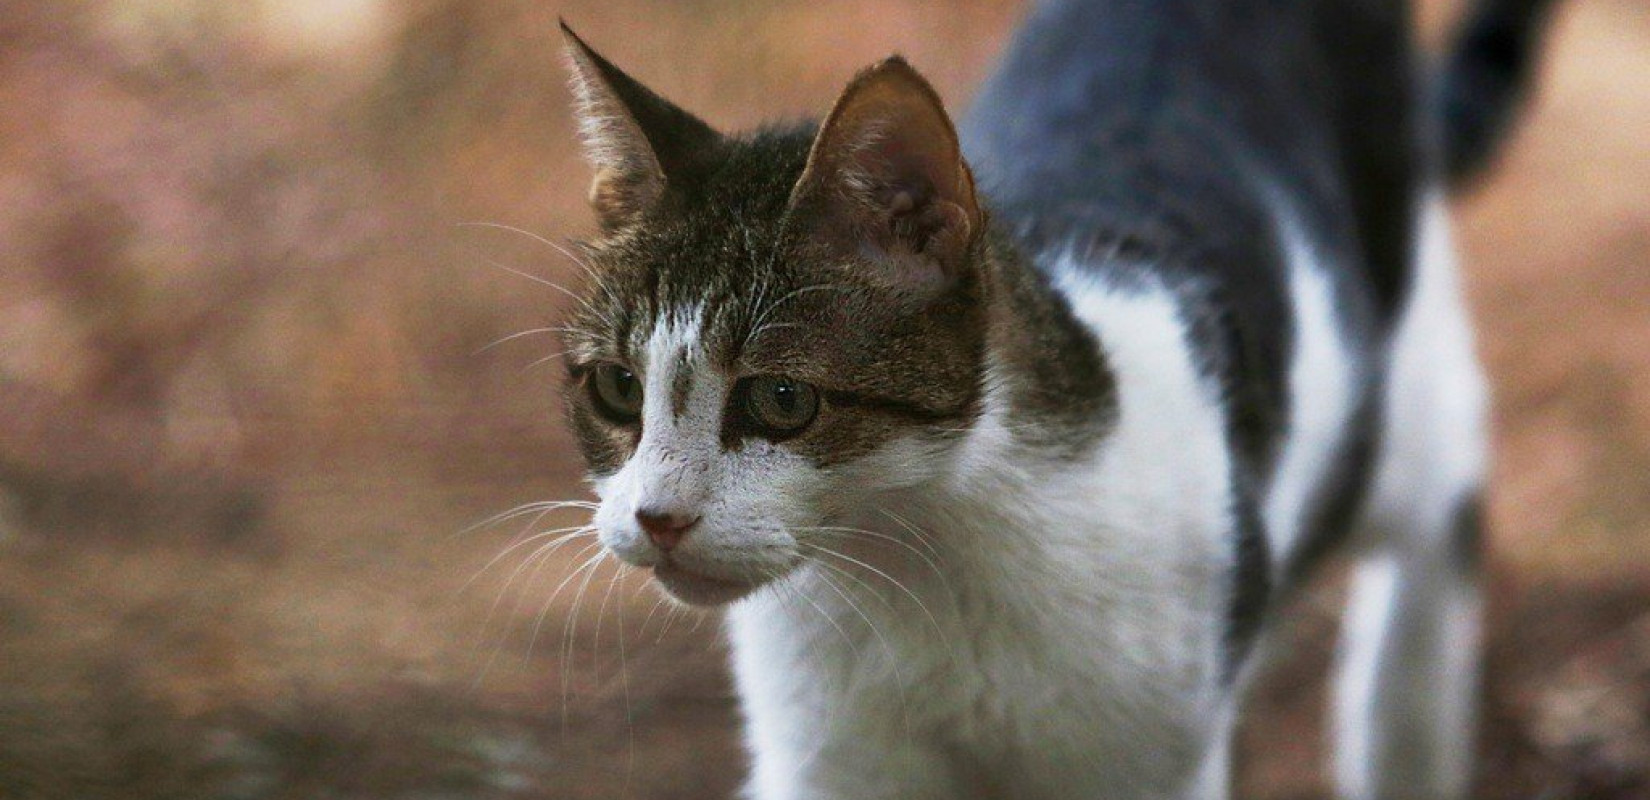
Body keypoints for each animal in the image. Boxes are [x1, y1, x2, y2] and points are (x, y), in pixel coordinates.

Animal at [547, 0, 1551, 795]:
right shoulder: (829, 760)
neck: (927, 559)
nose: (657, 518)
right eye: (618, 388)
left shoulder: (1151, 759)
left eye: (782, 399)